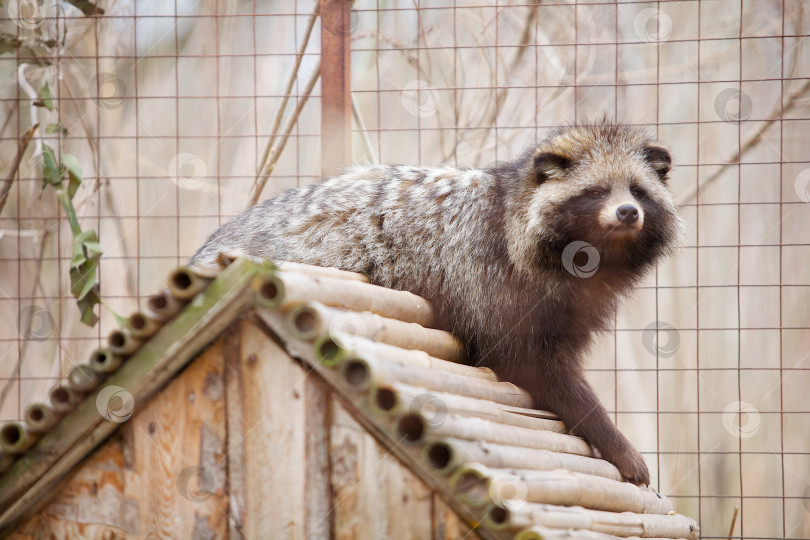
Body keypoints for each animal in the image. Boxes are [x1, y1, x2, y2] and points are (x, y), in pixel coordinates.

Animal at [194, 122, 680, 486]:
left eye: (637, 191)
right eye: (596, 191)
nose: (627, 212)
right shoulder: (493, 286)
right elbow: (535, 368)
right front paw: (611, 437)